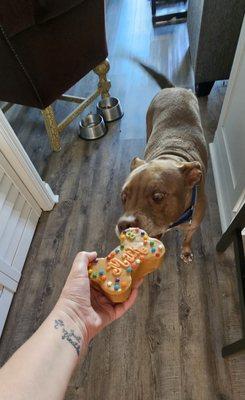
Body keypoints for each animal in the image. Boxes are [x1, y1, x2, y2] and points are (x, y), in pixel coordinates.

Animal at [116, 63, 207, 262]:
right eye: (124, 197)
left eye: (158, 196)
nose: (124, 225)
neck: (171, 155)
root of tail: (174, 88)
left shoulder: (193, 225)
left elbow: (187, 238)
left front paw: (186, 251)